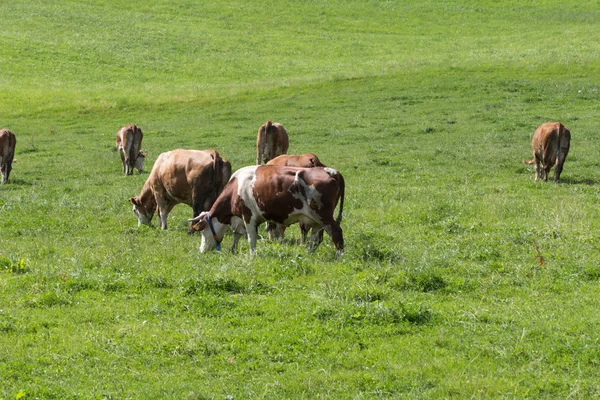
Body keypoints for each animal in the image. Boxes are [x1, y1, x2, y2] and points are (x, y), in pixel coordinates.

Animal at [188, 165, 346, 256]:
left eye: (202, 230)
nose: (201, 250)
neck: (236, 187)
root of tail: (329, 171)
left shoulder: (248, 216)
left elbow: (251, 238)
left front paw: (252, 255)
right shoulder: (240, 219)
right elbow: (237, 235)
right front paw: (234, 250)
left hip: (323, 215)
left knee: (336, 232)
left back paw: (339, 256)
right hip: (315, 219)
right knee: (315, 236)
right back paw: (308, 253)